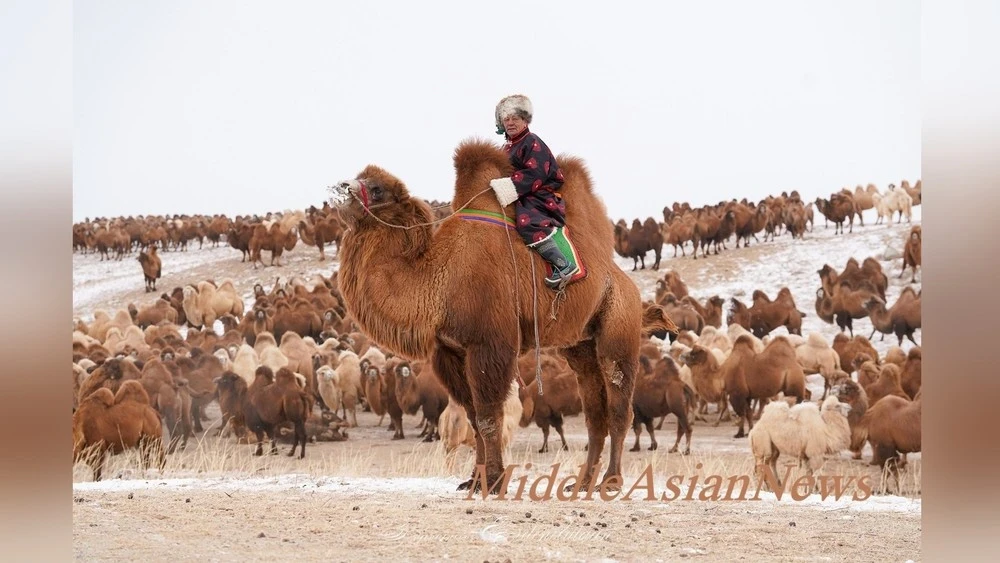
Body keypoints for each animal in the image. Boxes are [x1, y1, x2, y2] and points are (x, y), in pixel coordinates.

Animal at [332, 138, 676, 494]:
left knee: (620, 408)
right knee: (595, 414)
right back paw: (581, 482)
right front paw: (473, 480)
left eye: (377, 188)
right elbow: (472, 417)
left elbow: (488, 416)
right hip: (581, 345)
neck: (441, 279)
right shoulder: (451, 351)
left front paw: (494, 482)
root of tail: (629, 288)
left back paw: (609, 481)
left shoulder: (490, 345)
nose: (340, 187)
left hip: (618, 329)